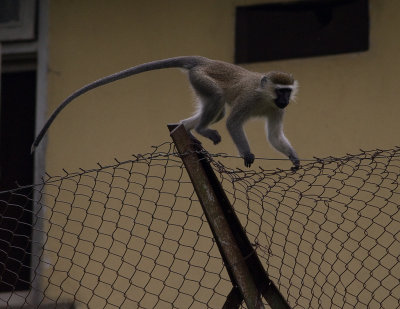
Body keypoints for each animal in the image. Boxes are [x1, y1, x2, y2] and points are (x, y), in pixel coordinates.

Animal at [31, 56, 298, 170]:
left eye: (287, 91)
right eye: (280, 91)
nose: (286, 100)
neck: (266, 97)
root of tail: (203, 61)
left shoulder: (278, 111)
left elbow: (274, 135)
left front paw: (293, 158)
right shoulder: (249, 98)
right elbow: (233, 123)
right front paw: (247, 154)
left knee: (216, 108)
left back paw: (186, 130)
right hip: (201, 78)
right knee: (218, 101)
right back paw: (201, 129)